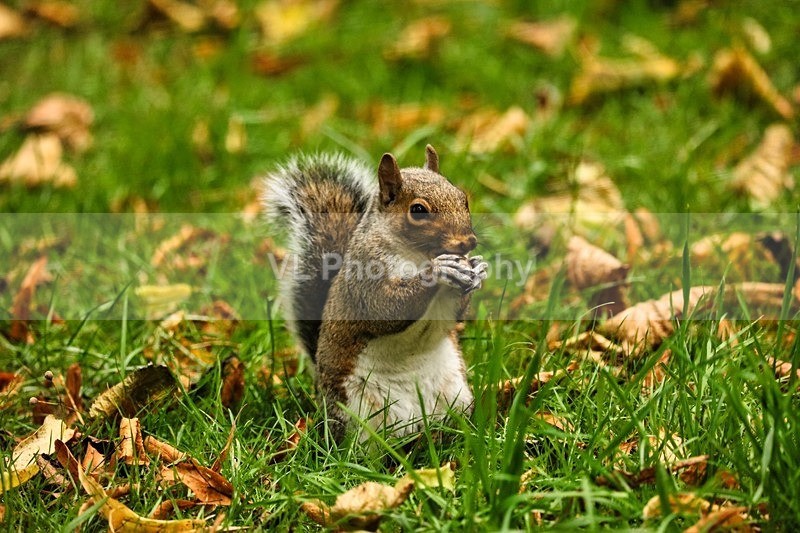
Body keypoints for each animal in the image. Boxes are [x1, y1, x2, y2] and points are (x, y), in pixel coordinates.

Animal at [262, 145, 487, 440]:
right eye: (418, 210)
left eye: (463, 199)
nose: (469, 242)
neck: (417, 255)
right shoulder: (365, 281)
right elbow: (387, 308)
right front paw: (439, 271)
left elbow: (454, 312)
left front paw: (478, 269)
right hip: (357, 412)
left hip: (455, 395)